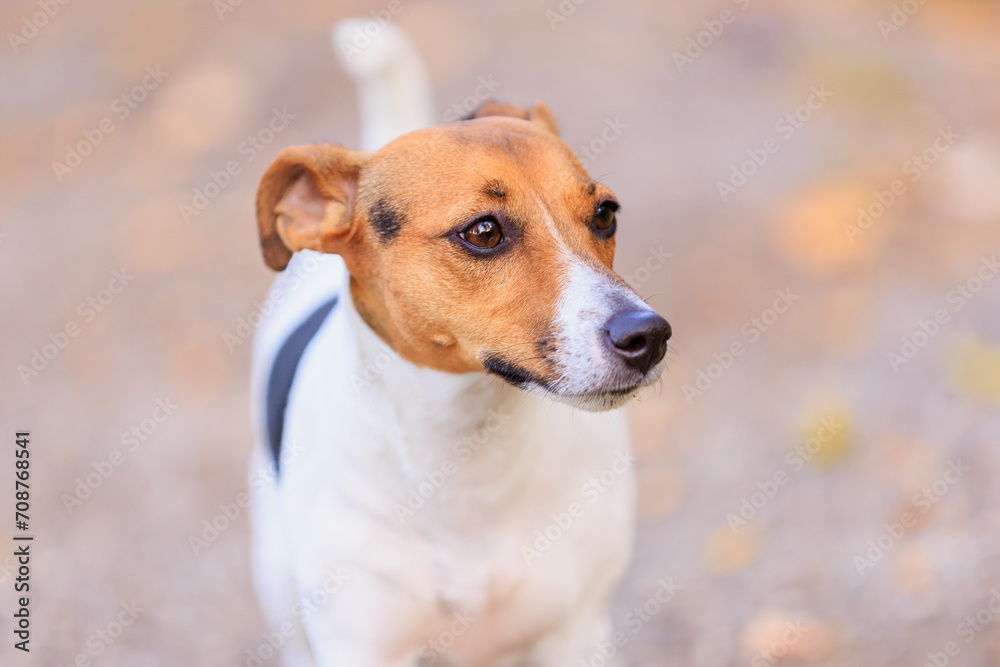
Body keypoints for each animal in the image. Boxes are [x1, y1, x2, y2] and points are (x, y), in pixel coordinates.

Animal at [248, 20, 672, 667]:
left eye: (606, 214)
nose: (648, 335)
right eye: (484, 231)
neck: (466, 450)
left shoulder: (574, 631)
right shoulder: (362, 646)